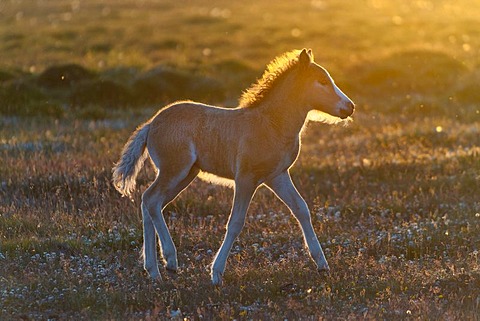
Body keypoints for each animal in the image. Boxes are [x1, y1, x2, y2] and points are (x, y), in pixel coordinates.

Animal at [111, 48, 352, 284]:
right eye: (322, 81)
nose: (349, 107)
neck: (271, 124)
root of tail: (151, 124)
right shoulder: (246, 178)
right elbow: (236, 222)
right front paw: (216, 273)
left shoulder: (277, 176)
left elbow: (301, 209)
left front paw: (322, 265)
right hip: (174, 170)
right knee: (151, 200)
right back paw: (170, 261)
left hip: (186, 174)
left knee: (150, 202)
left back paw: (153, 270)